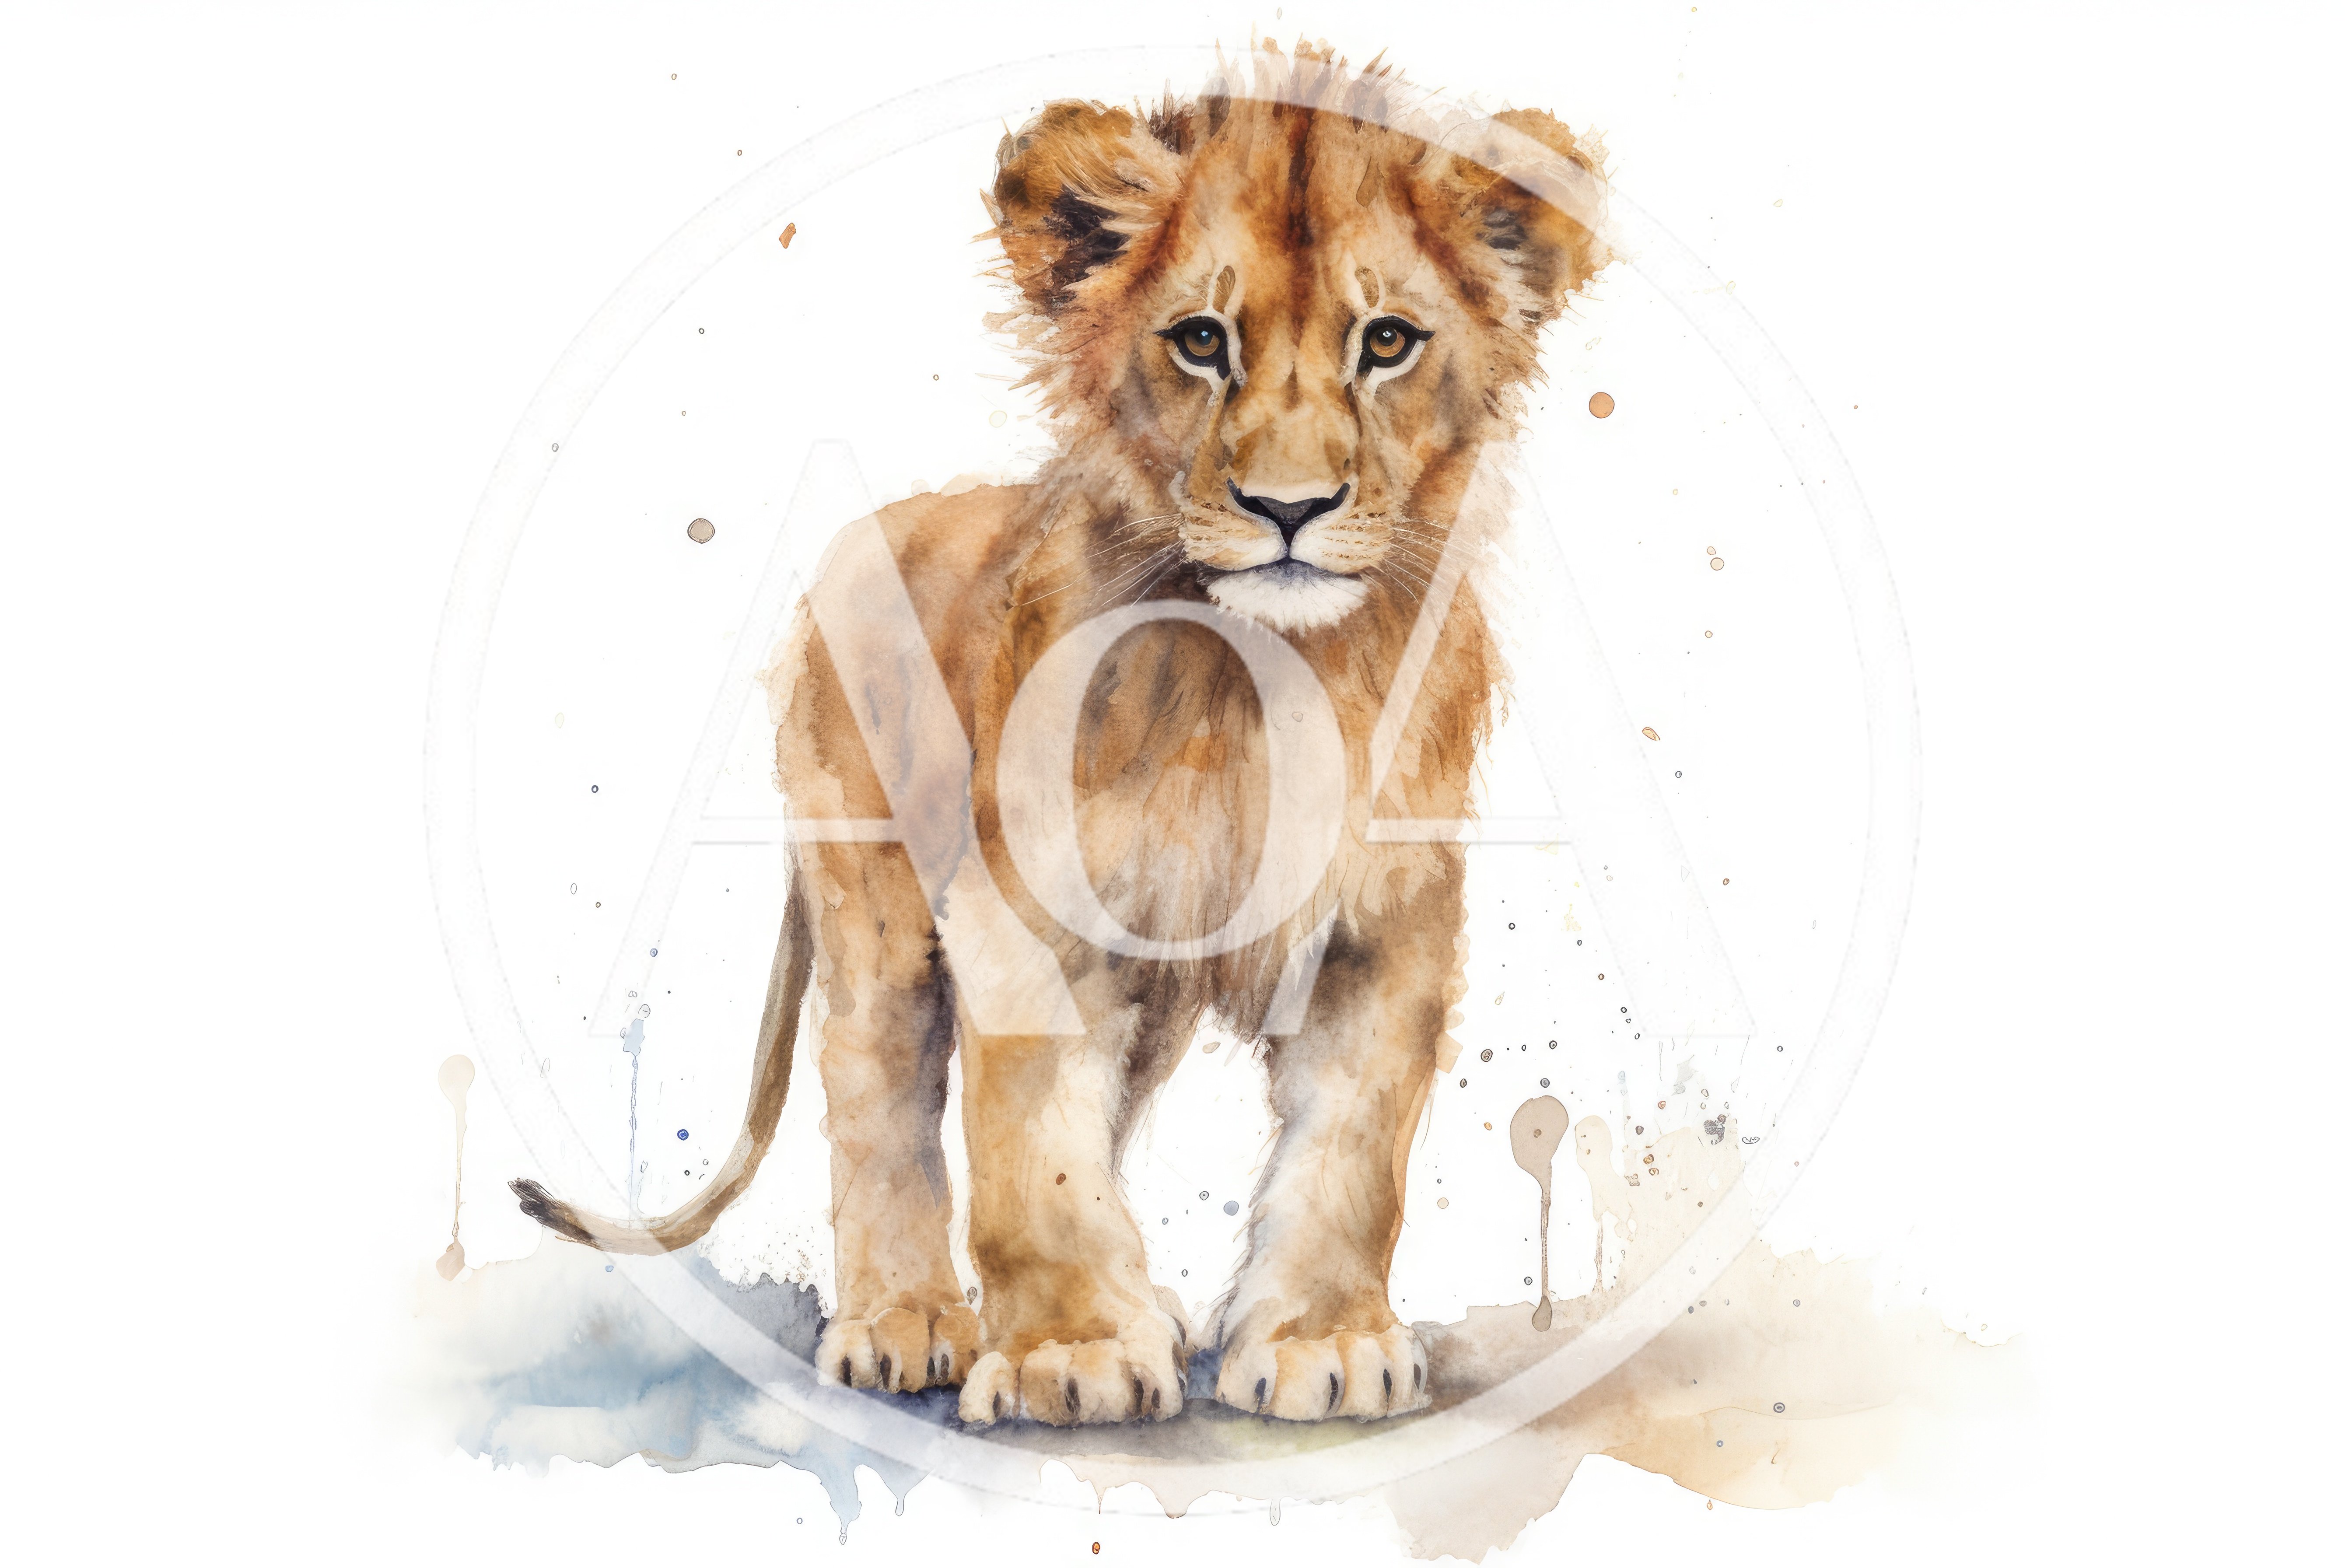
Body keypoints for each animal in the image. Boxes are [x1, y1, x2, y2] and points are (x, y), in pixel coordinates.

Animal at [513, 43, 1609, 1429]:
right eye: (1200, 341)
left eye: (1389, 343)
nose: (1289, 509)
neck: (1258, 680)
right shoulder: (1024, 911)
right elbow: (1031, 1146)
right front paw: (1070, 1353)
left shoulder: (1383, 920)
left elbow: (1353, 1147)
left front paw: (1322, 1339)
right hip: (874, 908)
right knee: (878, 1096)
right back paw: (908, 1323)